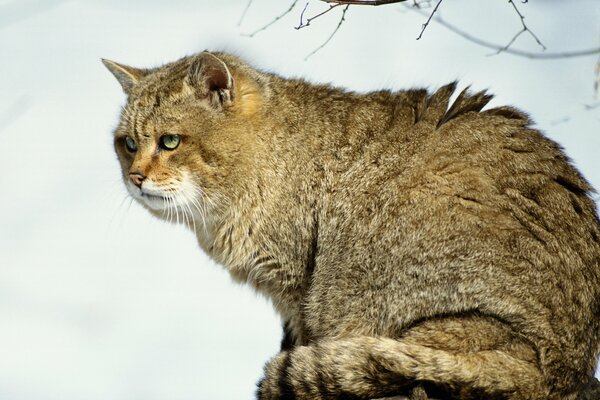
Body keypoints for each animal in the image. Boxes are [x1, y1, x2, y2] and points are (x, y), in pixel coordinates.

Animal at [103, 51, 600, 398]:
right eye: (127, 144)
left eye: (170, 141)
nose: (135, 177)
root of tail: (559, 374)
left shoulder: (299, 289)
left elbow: (301, 341)